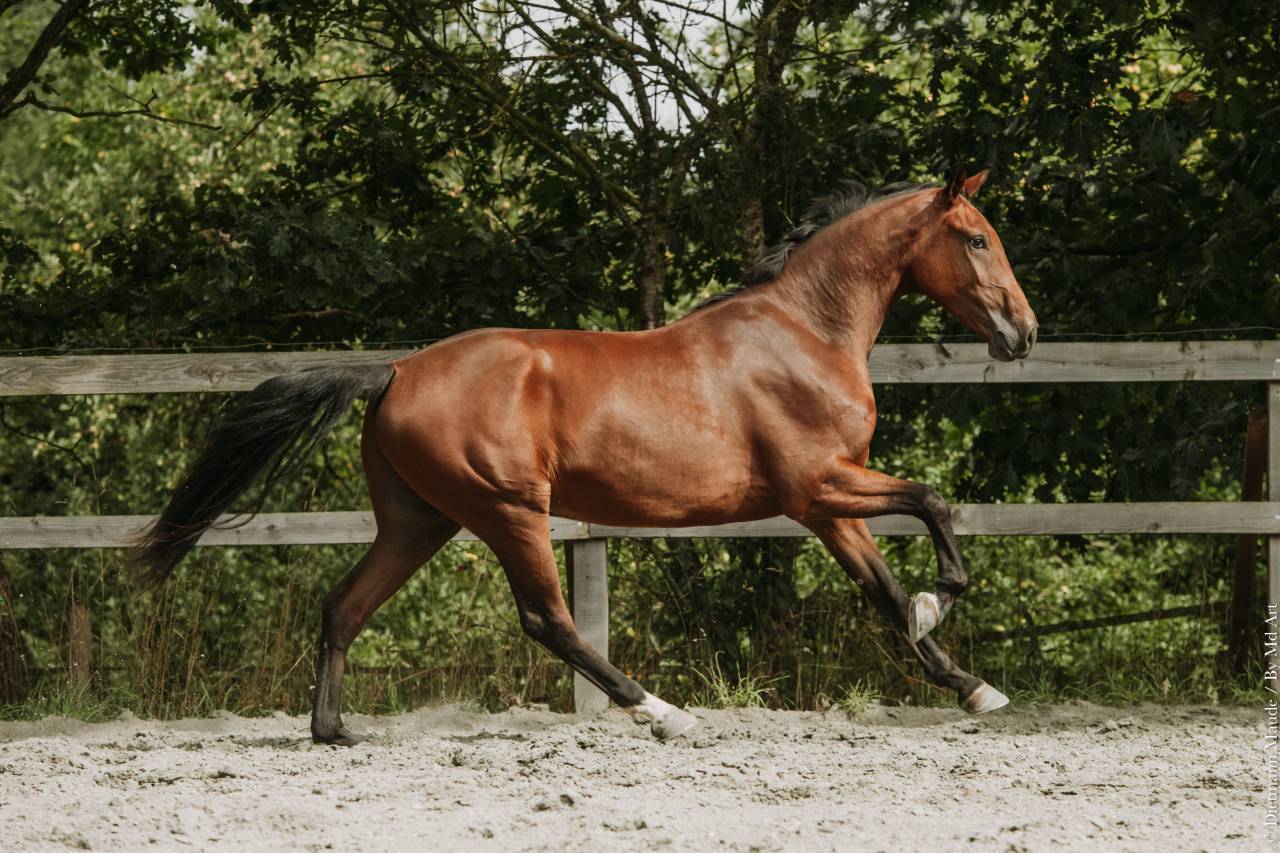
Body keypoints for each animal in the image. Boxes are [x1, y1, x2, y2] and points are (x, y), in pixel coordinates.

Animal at [133, 166, 1038, 745]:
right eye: (975, 238)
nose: (1023, 333)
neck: (805, 332)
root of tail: (396, 370)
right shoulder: (818, 486)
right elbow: (931, 502)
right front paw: (942, 599)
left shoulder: (825, 504)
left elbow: (882, 590)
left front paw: (973, 686)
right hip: (508, 510)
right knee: (550, 620)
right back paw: (661, 710)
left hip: (420, 520)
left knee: (344, 605)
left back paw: (333, 731)